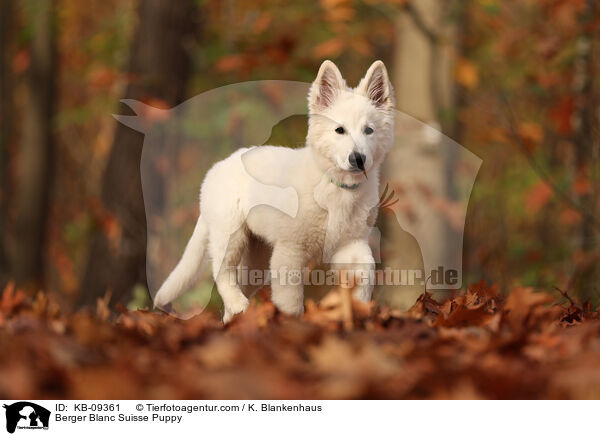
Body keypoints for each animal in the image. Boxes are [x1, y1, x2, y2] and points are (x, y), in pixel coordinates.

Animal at [155, 59, 396, 322]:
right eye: (339, 130)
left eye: (369, 130)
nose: (358, 159)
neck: (334, 187)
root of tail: (219, 166)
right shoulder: (289, 252)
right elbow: (290, 302)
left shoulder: (351, 244)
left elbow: (365, 275)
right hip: (230, 235)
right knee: (222, 273)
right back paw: (239, 305)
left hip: (258, 258)